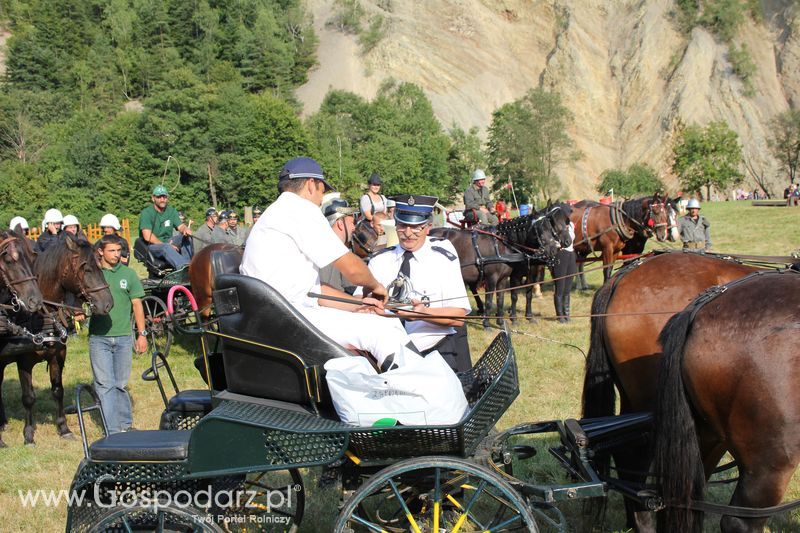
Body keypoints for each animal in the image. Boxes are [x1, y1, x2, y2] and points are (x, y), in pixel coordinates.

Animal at [0, 233, 112, 444]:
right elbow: (28, 397)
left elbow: (58, 390)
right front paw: (28, 434)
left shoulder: (58, 355)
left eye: (100, 265)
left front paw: (63, 428)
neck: (40, 316)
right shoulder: (23, 361)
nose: (108, 303)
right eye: (86, 268)